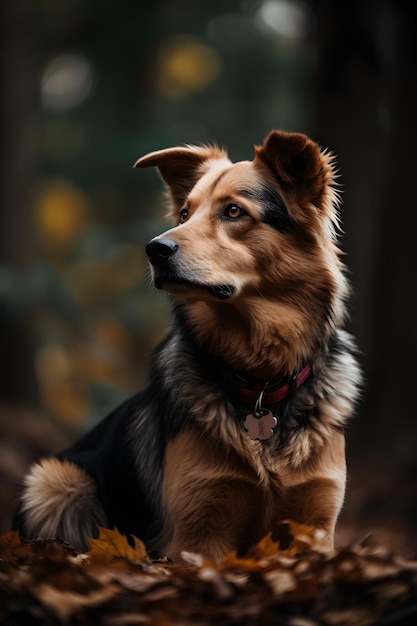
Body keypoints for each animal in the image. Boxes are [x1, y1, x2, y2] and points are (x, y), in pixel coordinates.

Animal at [15, 129, 360, 560]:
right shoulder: (199, 532)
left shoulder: (313, 528)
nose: (154, 249)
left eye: (233, 211)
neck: (260, 383)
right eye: (183, 214)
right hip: (54, 480)